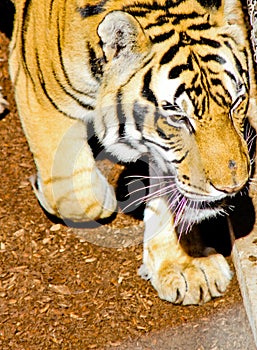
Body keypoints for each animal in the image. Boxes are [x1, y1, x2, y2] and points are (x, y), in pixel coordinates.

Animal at [8, 0, 256, 304]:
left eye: (236, 102)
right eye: (178, 118)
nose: (232, 187)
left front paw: (184, 267)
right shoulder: (39, 95)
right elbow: (80, 196)